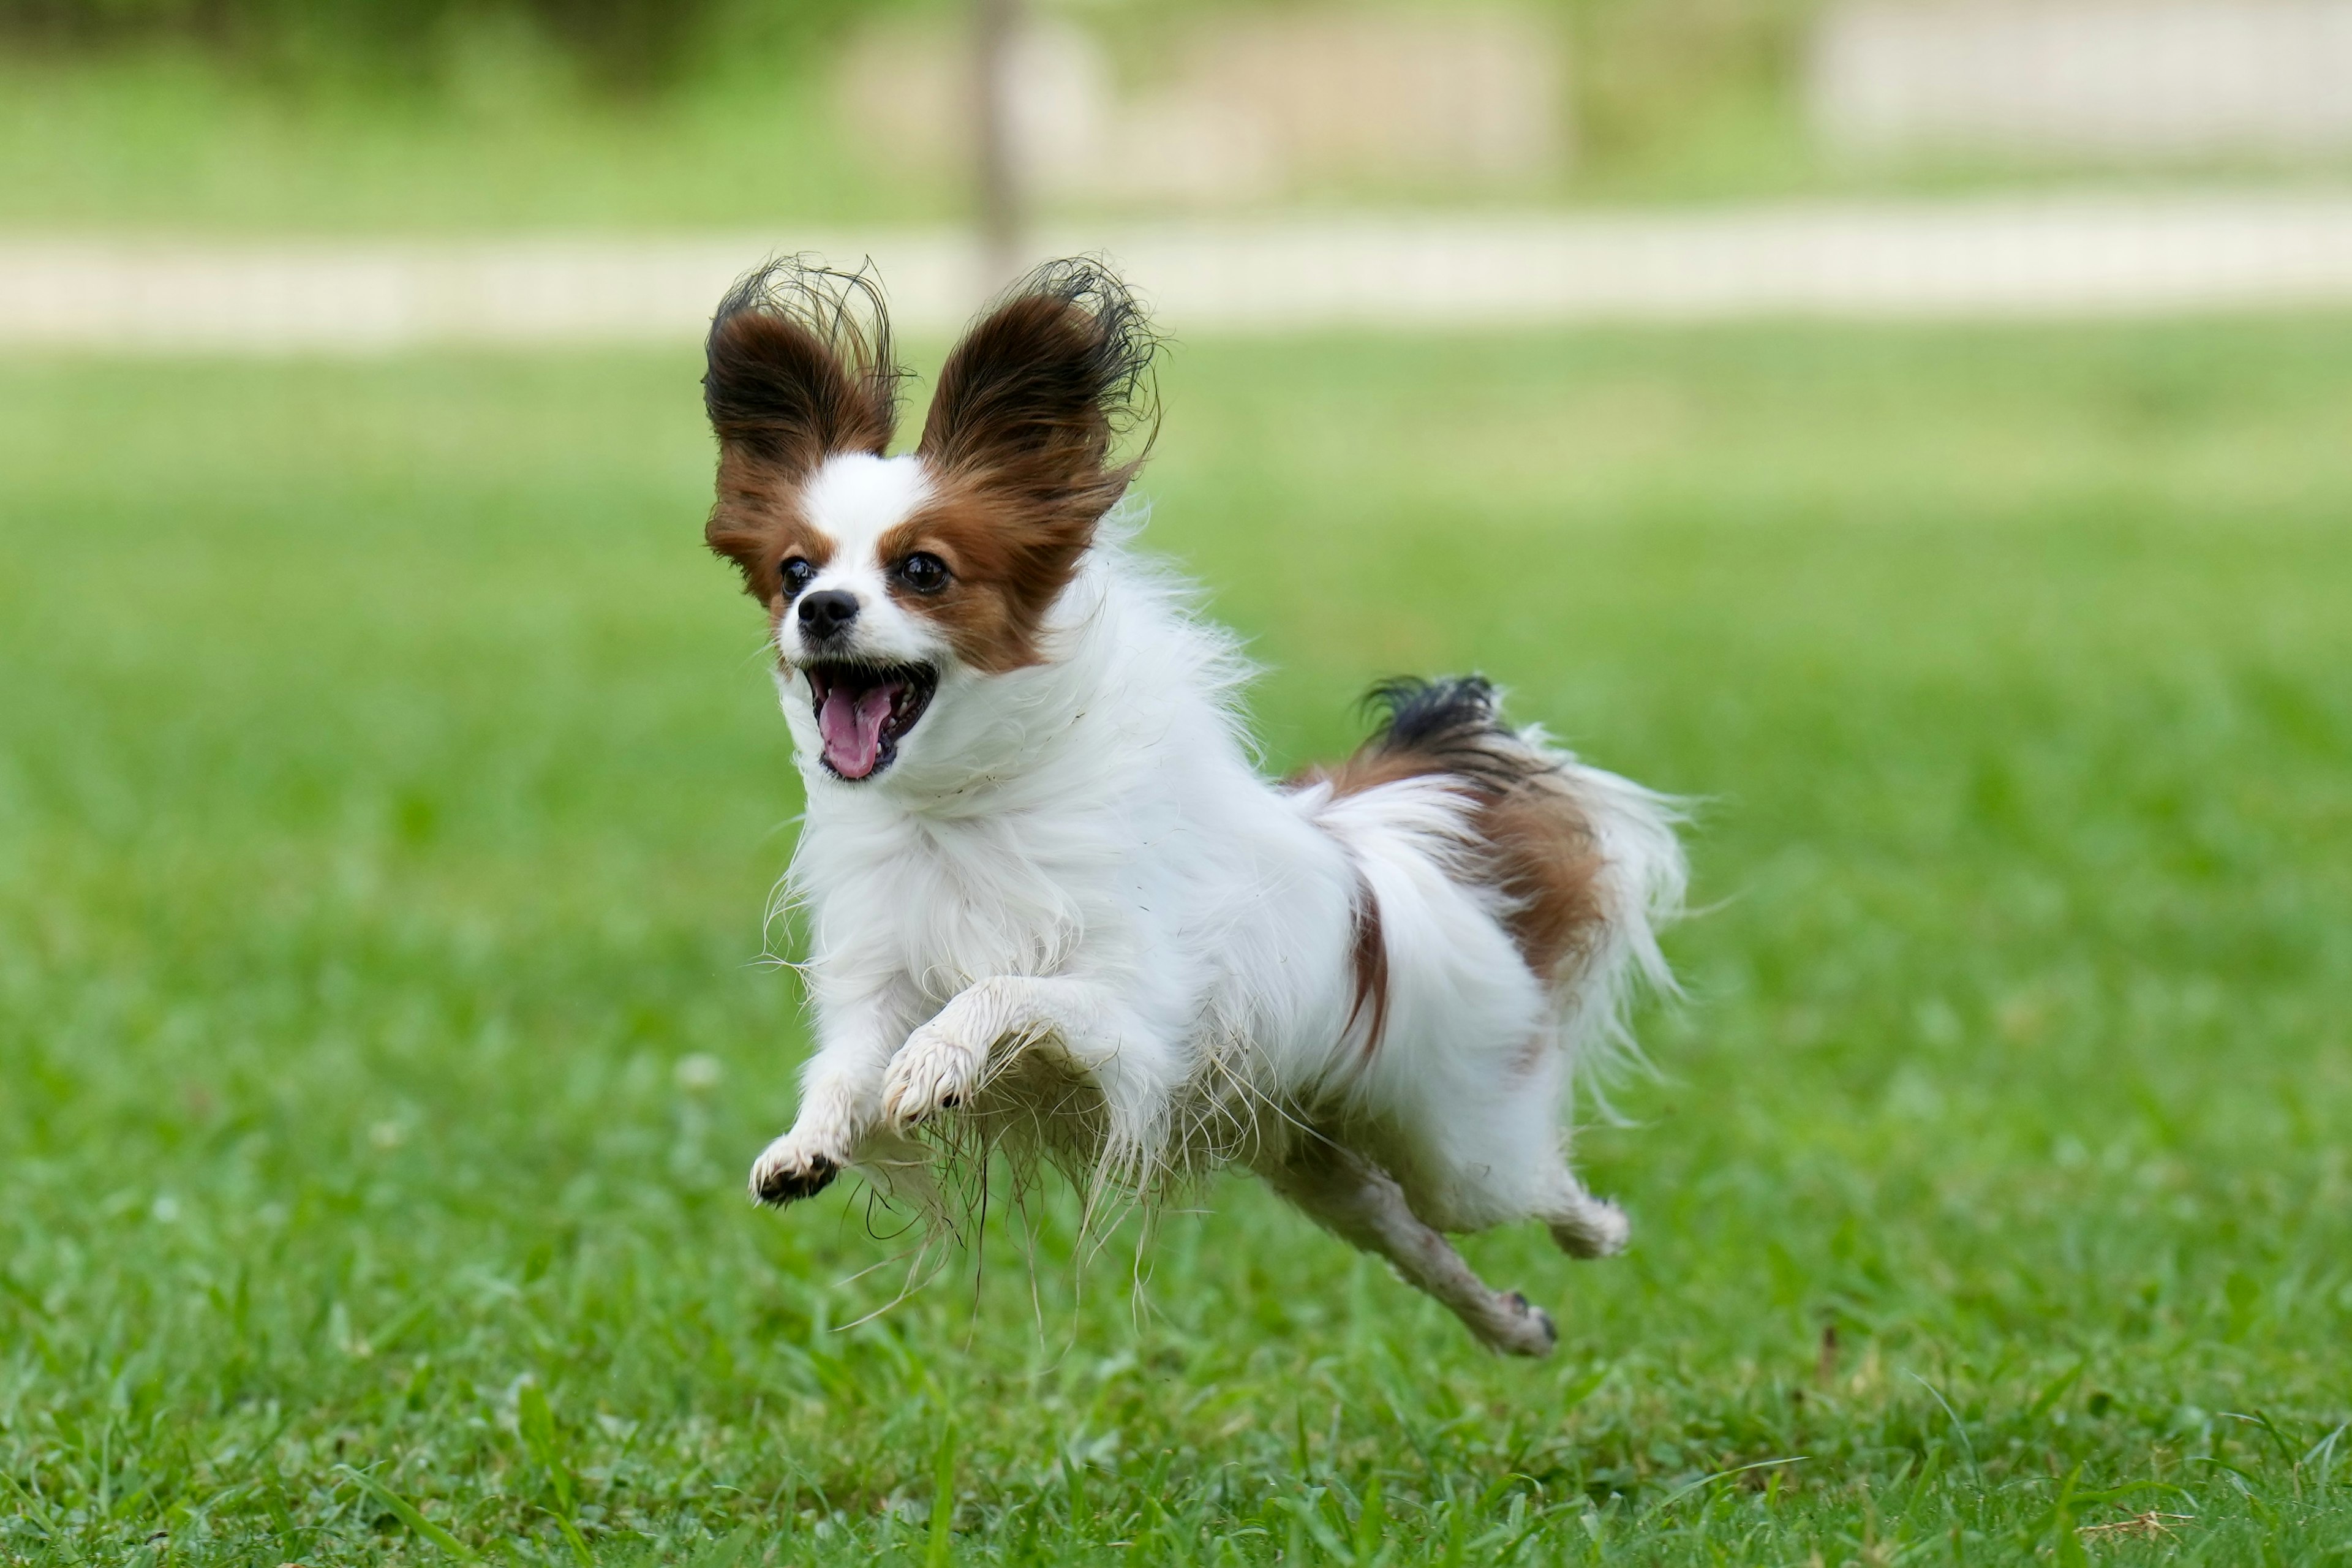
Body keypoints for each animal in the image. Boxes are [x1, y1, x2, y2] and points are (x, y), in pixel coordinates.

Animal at [706, 255, 1684, 1354]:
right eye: (794, 570)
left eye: (921, 570)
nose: (821, 610)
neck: (961, 807)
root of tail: (1389, 860)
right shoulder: (877, 987)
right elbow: (844, 1068)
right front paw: (807, 1141)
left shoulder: (1136, 1023)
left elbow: (1005, 992)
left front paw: (942, 1057)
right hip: (1326, 1171)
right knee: (1416, 1240)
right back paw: (1514, 1323)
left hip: (1463, 1143)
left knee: (1531, 1186)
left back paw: (1599, 1231)